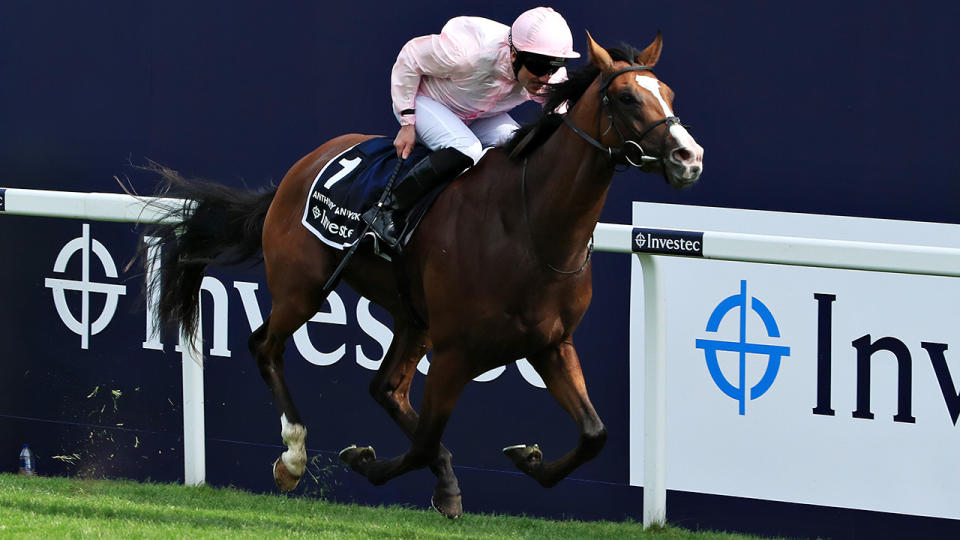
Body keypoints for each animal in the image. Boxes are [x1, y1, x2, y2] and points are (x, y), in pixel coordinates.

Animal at [148, 30, 704, 520]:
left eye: (668, 94)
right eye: (628, 97)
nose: (689, 156)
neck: (529, 225)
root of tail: (296, 172)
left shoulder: (551, 342)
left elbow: (594, 435)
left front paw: (528, 460)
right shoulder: (457, 352)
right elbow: (423, 442)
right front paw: (366, 463)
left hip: (413, 317)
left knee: (387, 388)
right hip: (302, 288)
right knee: (266, 346)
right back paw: (294, 456)